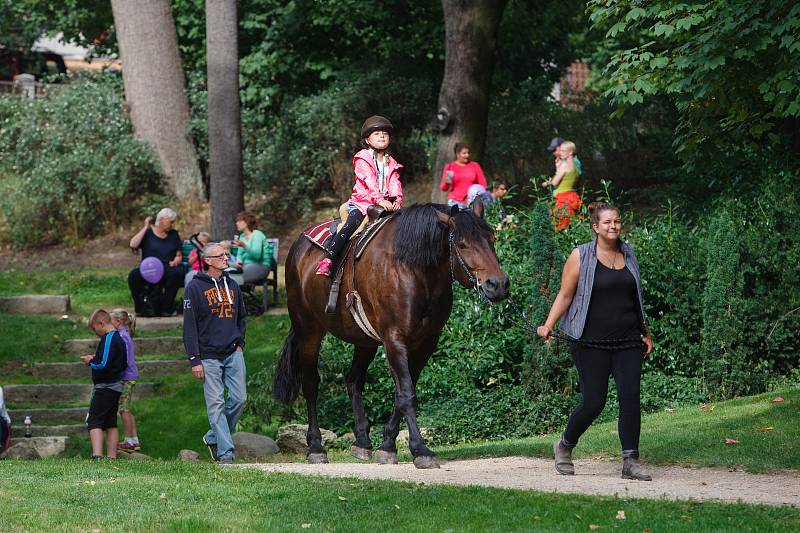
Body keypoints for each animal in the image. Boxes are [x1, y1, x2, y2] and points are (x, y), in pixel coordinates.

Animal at [272, 202, 510, 468]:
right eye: (462, 244)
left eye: (492, 238)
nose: (498, 284)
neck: (413, 269)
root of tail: (298, 247)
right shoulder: (394, 338)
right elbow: (406, 394)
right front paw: (421, 450)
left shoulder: (426, 341)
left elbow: (403, 391)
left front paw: (387, 445)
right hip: (309, 329)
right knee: (311, 384)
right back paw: (315, 447)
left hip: (364, 340)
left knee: (353, 380)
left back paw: (362, 441)